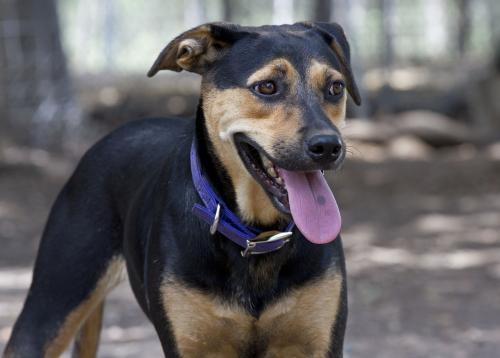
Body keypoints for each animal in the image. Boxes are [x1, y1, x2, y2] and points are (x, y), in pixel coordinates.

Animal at [5, 21, 362, 356]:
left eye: (335, 87)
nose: (328, 146)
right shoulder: (189, 345)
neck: (256, 237)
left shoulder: (319, 343)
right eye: (267, 87)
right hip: (51, 304)